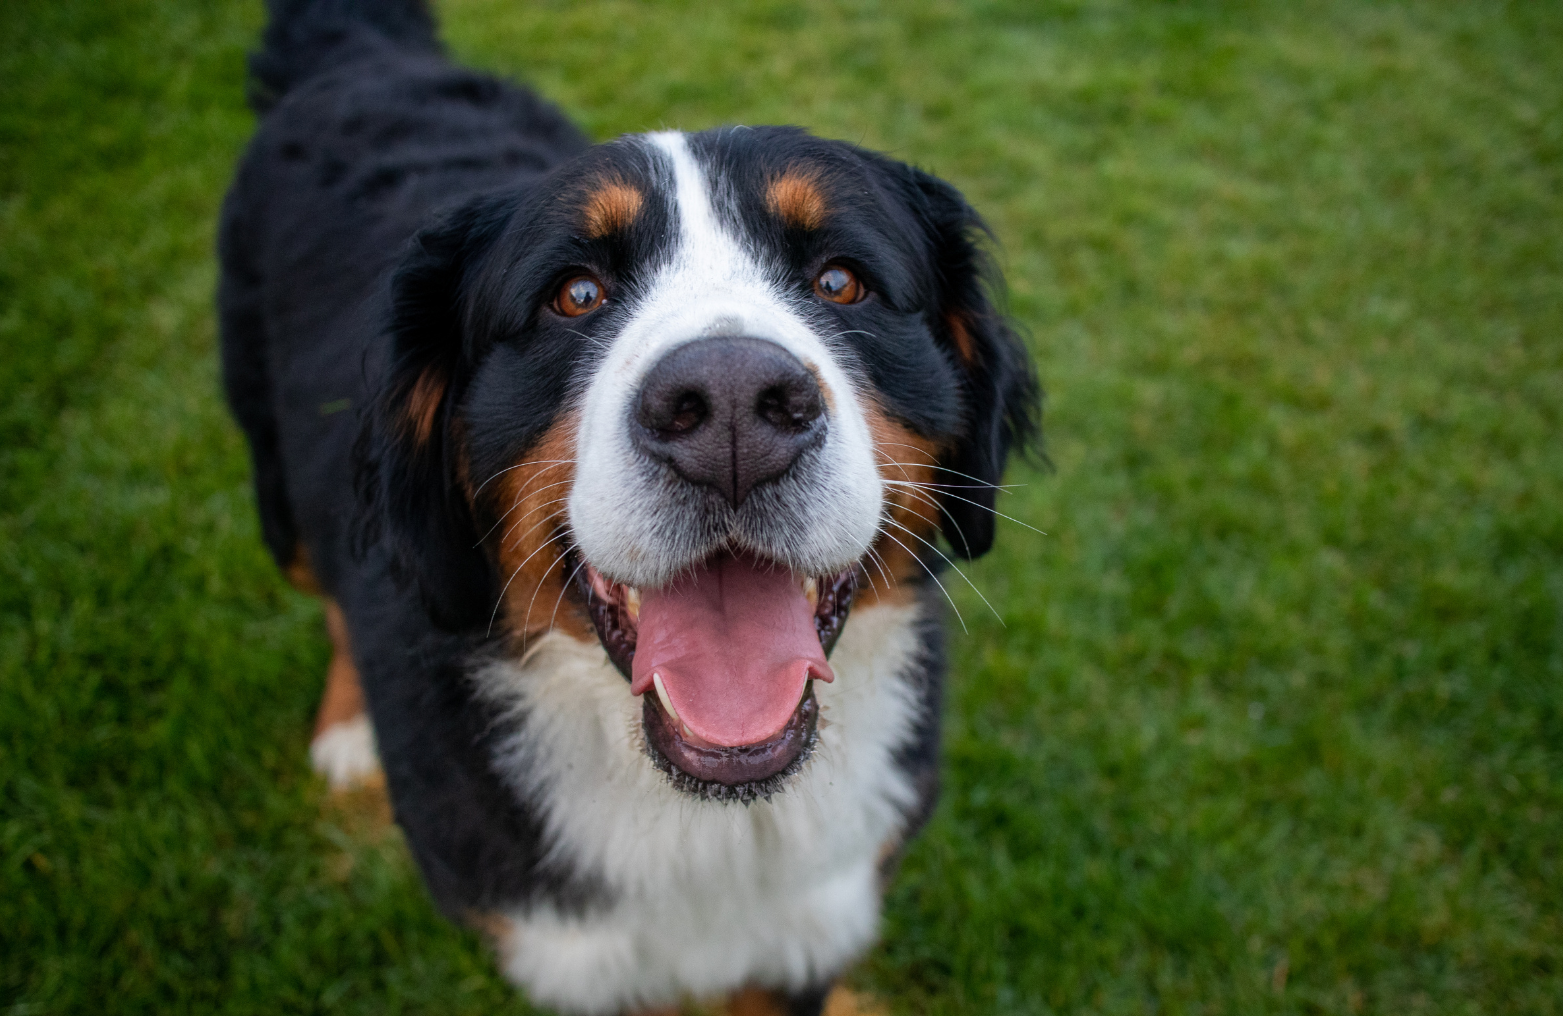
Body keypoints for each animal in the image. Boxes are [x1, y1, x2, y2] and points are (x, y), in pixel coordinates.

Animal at [214, 1, 1031, 1012]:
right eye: (575, 294)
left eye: (842, 281)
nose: (729, 406)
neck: (702, 814)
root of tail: (364, 54)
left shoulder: (809, 929)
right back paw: (346, 730)